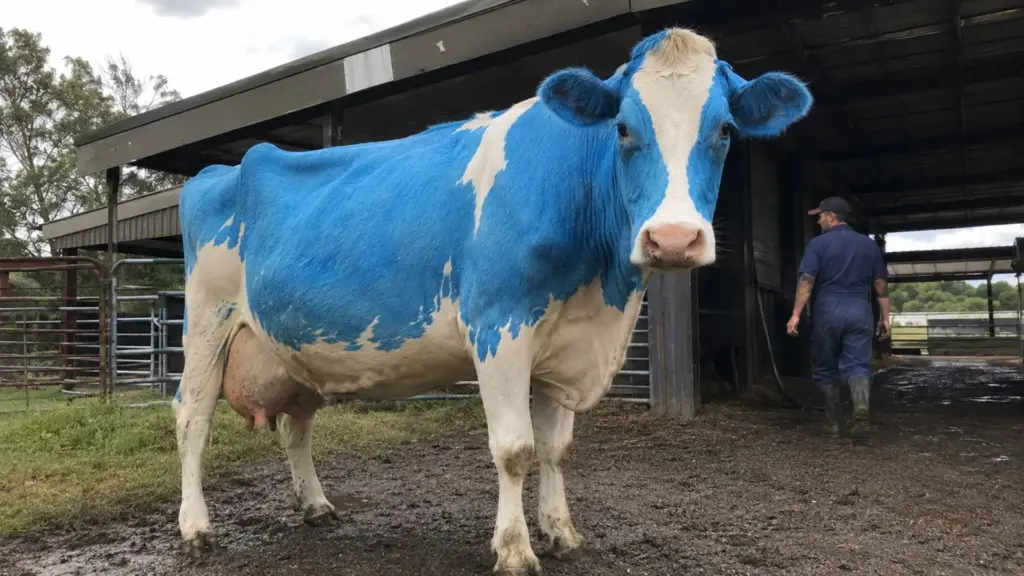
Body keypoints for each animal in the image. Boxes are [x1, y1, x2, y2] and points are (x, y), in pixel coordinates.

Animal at [172, 27, 812, 575]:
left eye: (725, 130)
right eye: (624, 128)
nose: (674, 238)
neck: (600, 292)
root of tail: (219, 168)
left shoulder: (568, 347)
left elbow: (556, 449)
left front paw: (561, 532)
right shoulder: (499, 326)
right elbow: (515, 448)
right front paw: (513, 549)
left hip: (293, 346)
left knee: (296, 426)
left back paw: (316, 506)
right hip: (207, 321)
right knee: (192, 417)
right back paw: (196, 528)